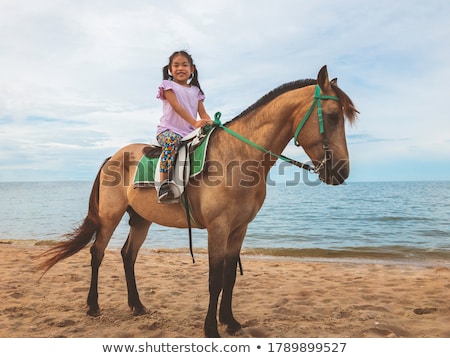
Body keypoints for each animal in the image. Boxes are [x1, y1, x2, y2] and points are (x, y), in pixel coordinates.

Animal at [38, 65, 356, 338]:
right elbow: (214, 279)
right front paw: (211, 328)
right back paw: (93, 306)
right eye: (332, 116)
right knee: (97, 253)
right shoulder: (218, 228)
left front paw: (230, 322)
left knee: (128, 255)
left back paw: (137, 306)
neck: (238, 155)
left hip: (141, 219)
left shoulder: (239, 229)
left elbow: (229, 277)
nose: (342, 171)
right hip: (110, 216)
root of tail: (112, 157)